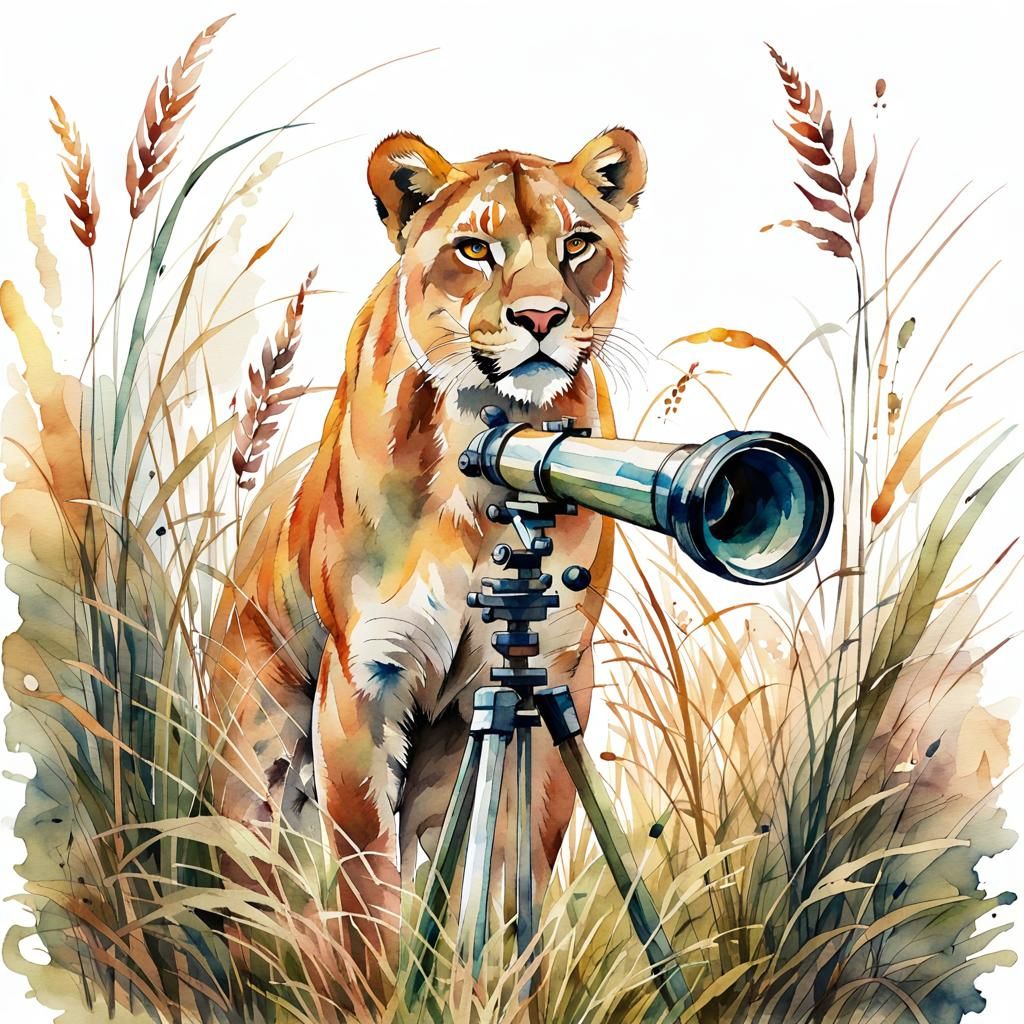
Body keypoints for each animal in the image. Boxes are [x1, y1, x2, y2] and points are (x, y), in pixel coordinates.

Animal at [205, 127, 647, 969]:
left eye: (578, 244)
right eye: (474, 248)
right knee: (250, 894)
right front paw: (378, 985)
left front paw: (500, 983)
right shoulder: (364, 681)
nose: (541, 316)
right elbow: (368, 891)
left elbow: (510, 874)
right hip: (252, 760)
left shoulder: (557, 673)